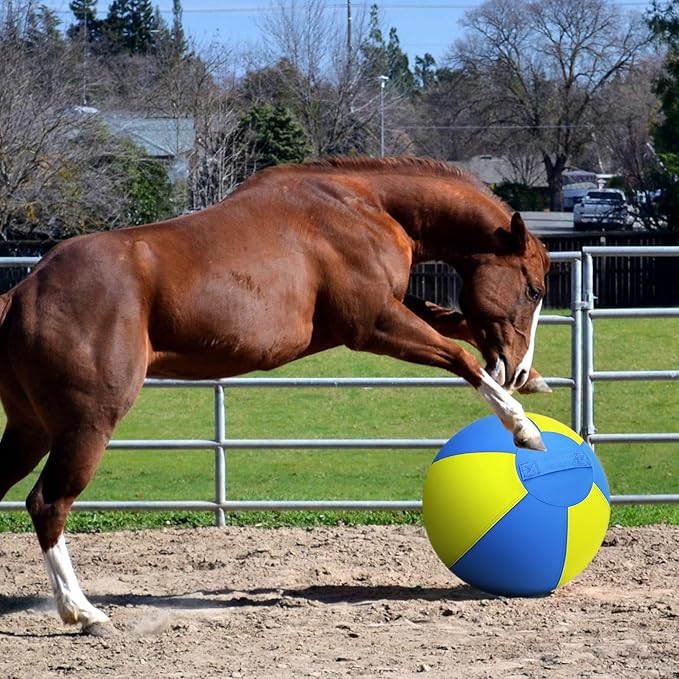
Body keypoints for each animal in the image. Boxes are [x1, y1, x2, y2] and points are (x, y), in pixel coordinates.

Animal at [0, 156, 549, 634]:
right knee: (48, 502)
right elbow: (459, 357)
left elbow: (451, 321)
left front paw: (533, 380)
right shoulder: (373, 323)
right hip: (87, 424)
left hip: (30, 430)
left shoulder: (388, 309)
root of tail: (23, 293)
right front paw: (524, 427)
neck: (364, 205)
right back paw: (83, 613)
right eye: (535, 290)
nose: (516, 366)